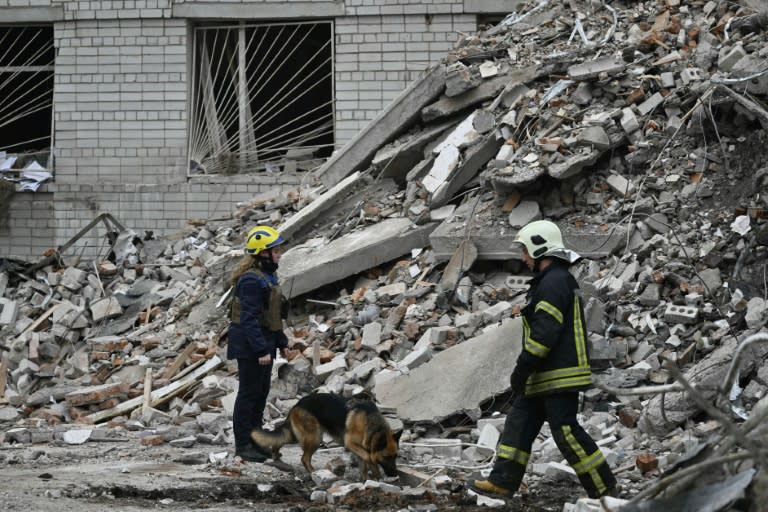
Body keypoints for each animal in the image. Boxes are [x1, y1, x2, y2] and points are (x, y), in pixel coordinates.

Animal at [252, 392, 402, 480]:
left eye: (396, 456)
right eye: (387, 457)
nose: (395, 474)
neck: (371, 425)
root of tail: (298, 404)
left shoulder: (361, 447)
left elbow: (364, 463)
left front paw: (366, 479)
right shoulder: (351, 443)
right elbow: (368, 457)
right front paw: (375, 473)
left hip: (297, 435)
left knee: (280, 440)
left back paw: (276, 456)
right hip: (315, 438)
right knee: (304, 459)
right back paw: (314, 474)